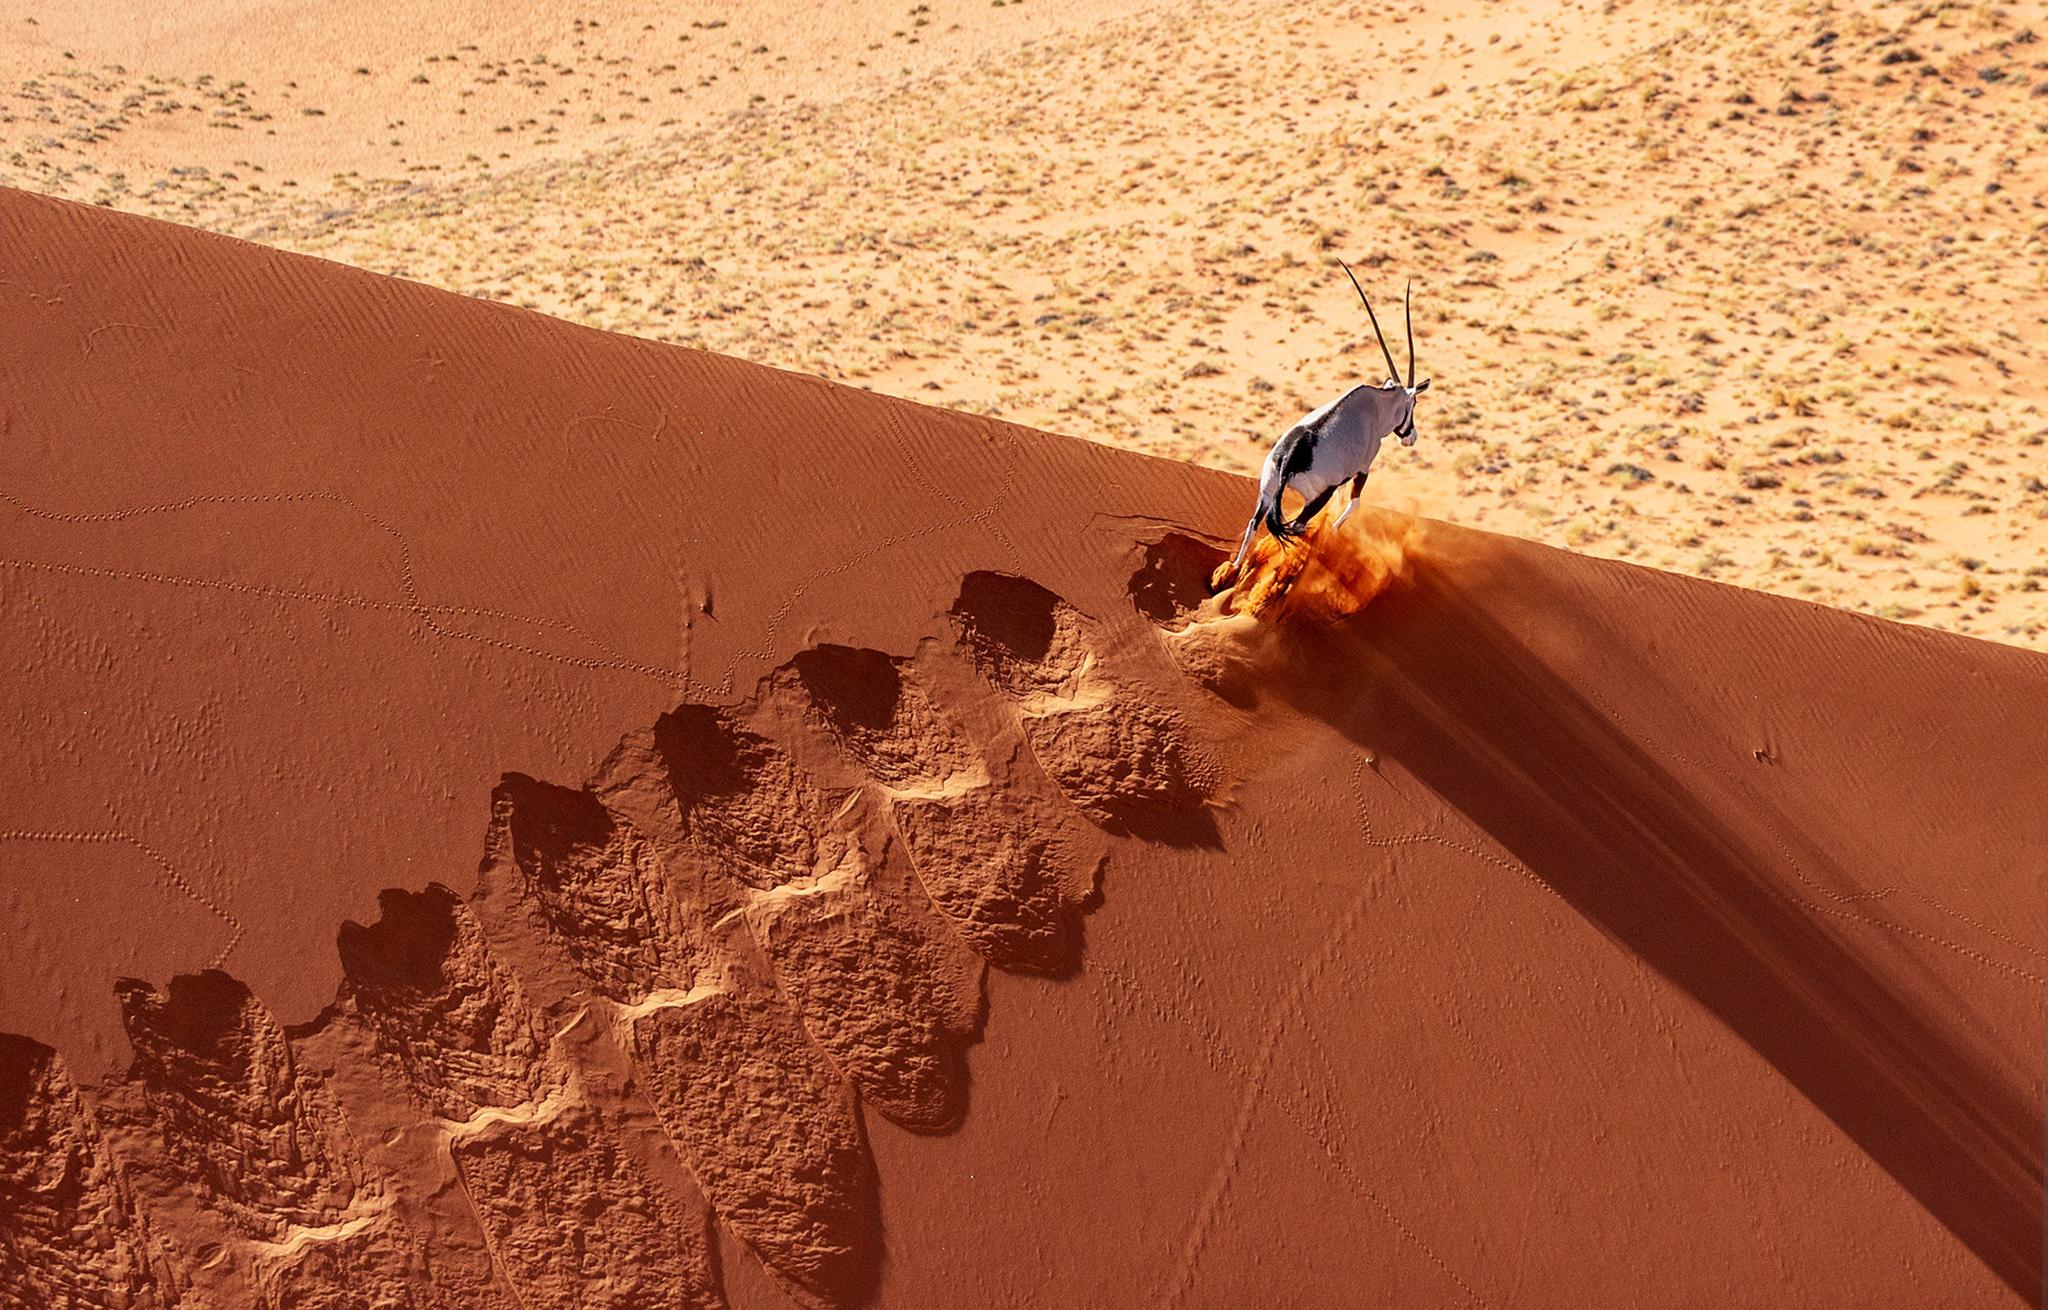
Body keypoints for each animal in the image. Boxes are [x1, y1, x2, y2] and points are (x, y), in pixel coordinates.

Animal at [1214, 263, 1430, 590]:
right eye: (1413, 404)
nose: (1411, 437)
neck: (1375, 407)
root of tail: (1289, 458)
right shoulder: (1362, 468)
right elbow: (1352, 505)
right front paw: (1335, 533)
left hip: (1267, 490)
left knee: (1254, 523)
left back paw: (1232, 570)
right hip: (1314, 496)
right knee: (1298, 525)